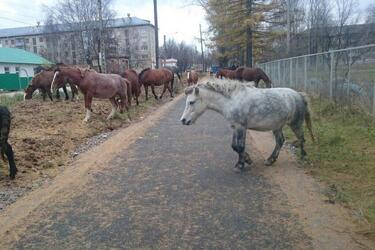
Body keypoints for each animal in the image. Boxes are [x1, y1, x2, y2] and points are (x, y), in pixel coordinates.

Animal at [179, 80, 314, 170]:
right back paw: (270, 160)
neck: (232, 100)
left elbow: (240, 147)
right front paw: (245, 160)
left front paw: (242, 163)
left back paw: (303, 157)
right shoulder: (236, 127)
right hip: (277, 126)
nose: (183, 120)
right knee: (280, 141)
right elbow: (235, 146)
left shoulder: (241, 127)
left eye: (191, 102)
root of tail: (298, 95)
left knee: (301, 138)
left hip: (295, 124)